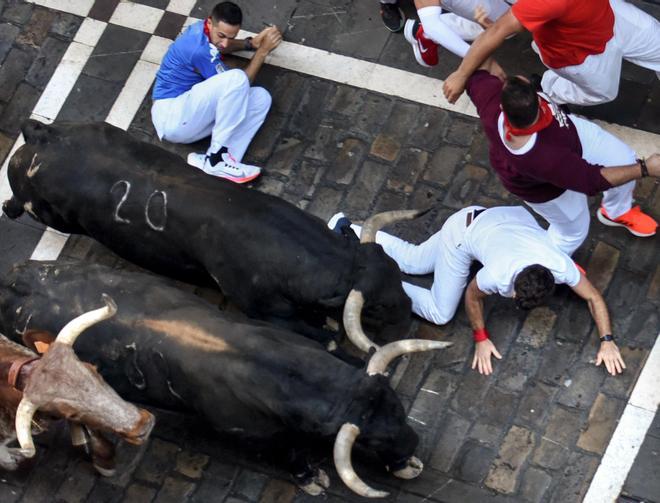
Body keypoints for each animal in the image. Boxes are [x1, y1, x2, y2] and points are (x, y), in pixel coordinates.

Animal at [0, 262, 452, 498]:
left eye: (399, 409)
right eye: (369, 443)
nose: (411, 447)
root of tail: (16, 277)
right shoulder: (254, 434)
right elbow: (290, 451)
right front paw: (310, 477)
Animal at [1, 121, 422, 350]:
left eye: (395, 271)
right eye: (374, 307)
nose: (406, 315)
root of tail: (41, 137)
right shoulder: (268, 313)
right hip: (45, 210)